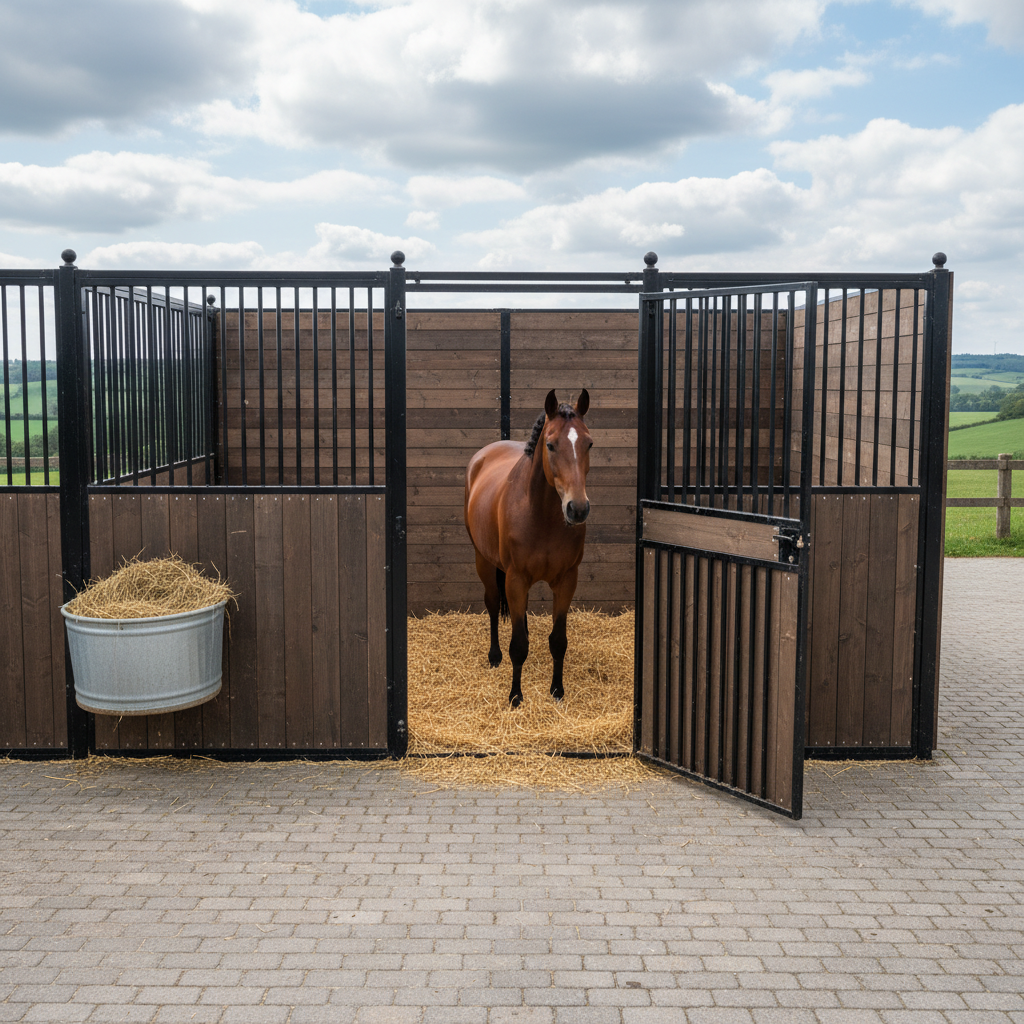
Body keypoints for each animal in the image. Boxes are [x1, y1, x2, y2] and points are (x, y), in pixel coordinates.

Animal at [464, 389, 593, 708]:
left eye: (589, 443)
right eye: (550, 444)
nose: (578, 509)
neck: (541, 515)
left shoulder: (567, 580)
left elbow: (558, 641)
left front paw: (557, 691)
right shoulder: (516, 579)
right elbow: (518, 646)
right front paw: (515, 696)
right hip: (484, 562)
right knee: (492, 603)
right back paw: (494, 656)